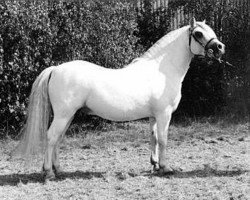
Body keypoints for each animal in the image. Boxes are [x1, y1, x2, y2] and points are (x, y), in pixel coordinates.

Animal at [12, 18, 225, 179]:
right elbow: (164, 139)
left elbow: (154, 138)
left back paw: (58, 169)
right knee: (51, 137)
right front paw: (166, 168)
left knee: (57, 138)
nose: (220, 48)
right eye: (198, 34)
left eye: (211, 31)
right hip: (64, 115)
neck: (162, 70)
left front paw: (155, 165)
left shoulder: (154, 116)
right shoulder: (164, 114)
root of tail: (56, 69)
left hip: (68, 116)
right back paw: (49, 173)